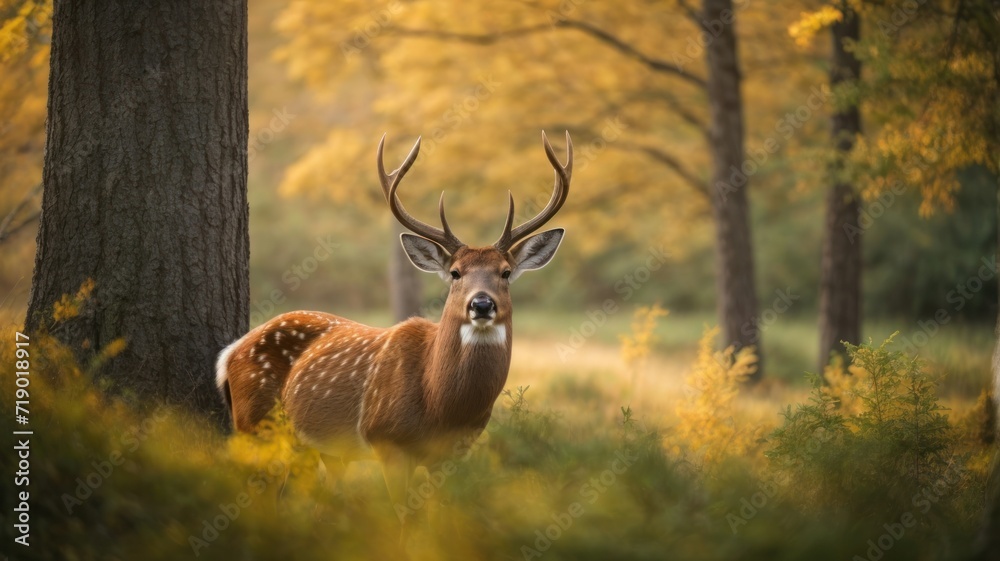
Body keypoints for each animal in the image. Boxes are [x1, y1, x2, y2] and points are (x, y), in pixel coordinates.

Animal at [215, 131, 572, 523]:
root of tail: (229, 352)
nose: (481, 304)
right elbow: (400, 520)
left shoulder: (454, 453)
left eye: (505, 273)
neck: (442, 404)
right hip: (253, 425)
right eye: (455, 273)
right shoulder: (388, 442)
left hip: (318, 448)